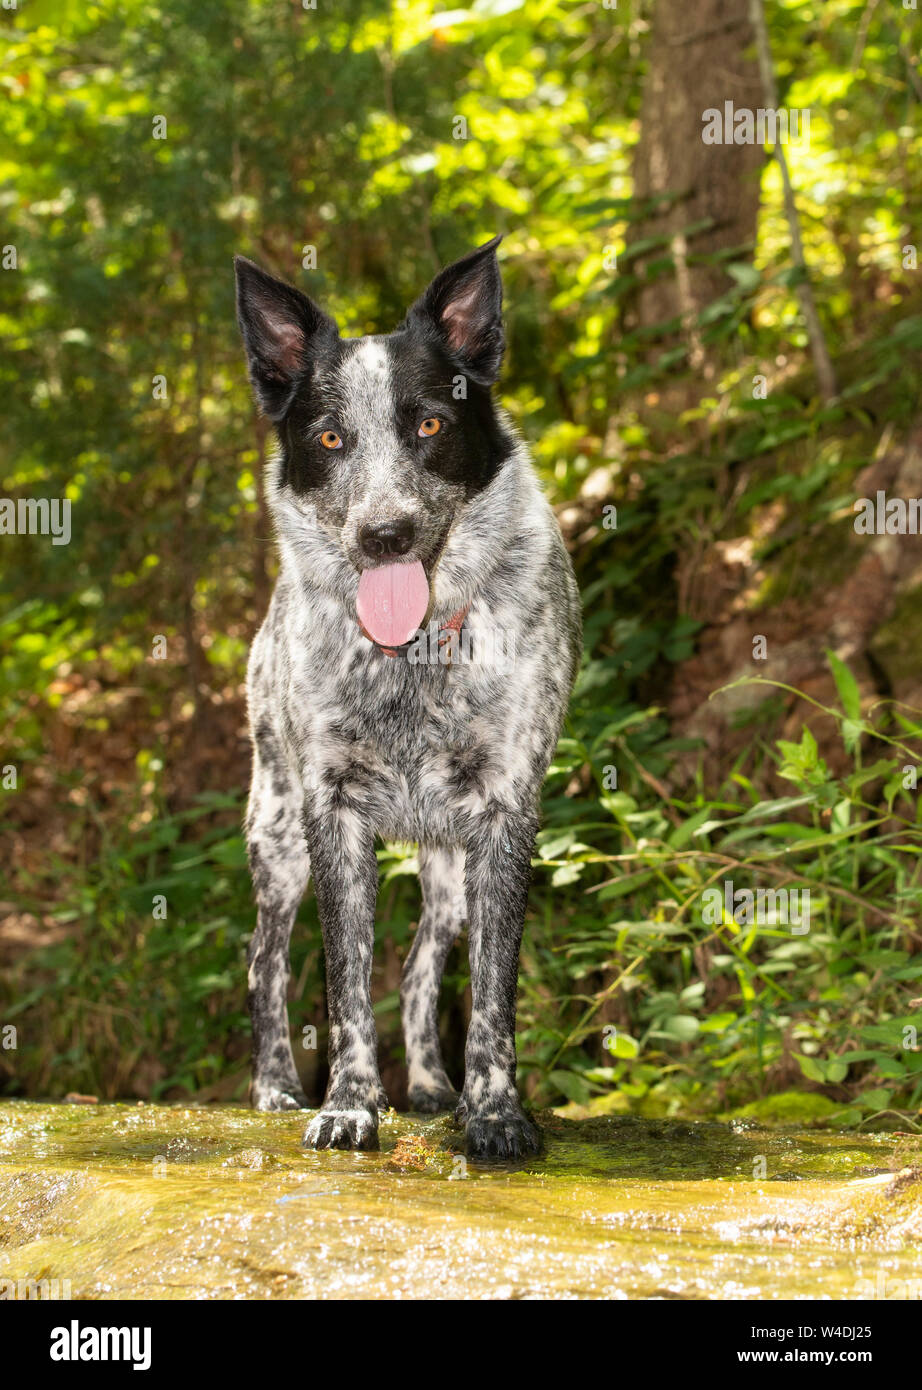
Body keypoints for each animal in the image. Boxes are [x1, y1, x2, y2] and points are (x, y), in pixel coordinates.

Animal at [235, 233, 581, 1156]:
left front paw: (491, 1110)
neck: (411, 656)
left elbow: (490, 991)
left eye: (429, 423)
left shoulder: (504, 816)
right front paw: (349, 1104)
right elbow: (345, 983)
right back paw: (276, 1087)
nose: (383, 534)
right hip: (276, 835)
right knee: (265, 960)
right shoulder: (332, 815)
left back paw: (429, 1083)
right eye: (328, 436)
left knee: (426, 963)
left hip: (447, 869)